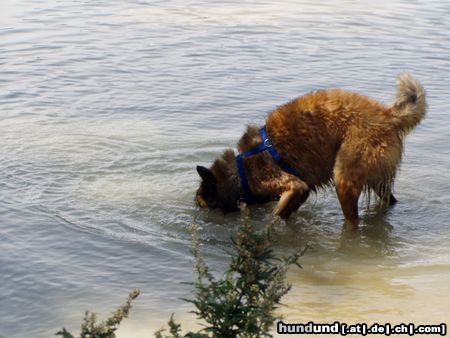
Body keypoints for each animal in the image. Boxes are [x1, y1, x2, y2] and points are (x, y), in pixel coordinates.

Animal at [196, 72, 426, 228]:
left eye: (204, 203)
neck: (241, 170)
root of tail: (388, 116)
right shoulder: (302, 191)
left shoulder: (292, 185)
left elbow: (276, 215)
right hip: (376, 180)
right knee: (389, 201)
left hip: (345, 179)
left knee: (352, 221)